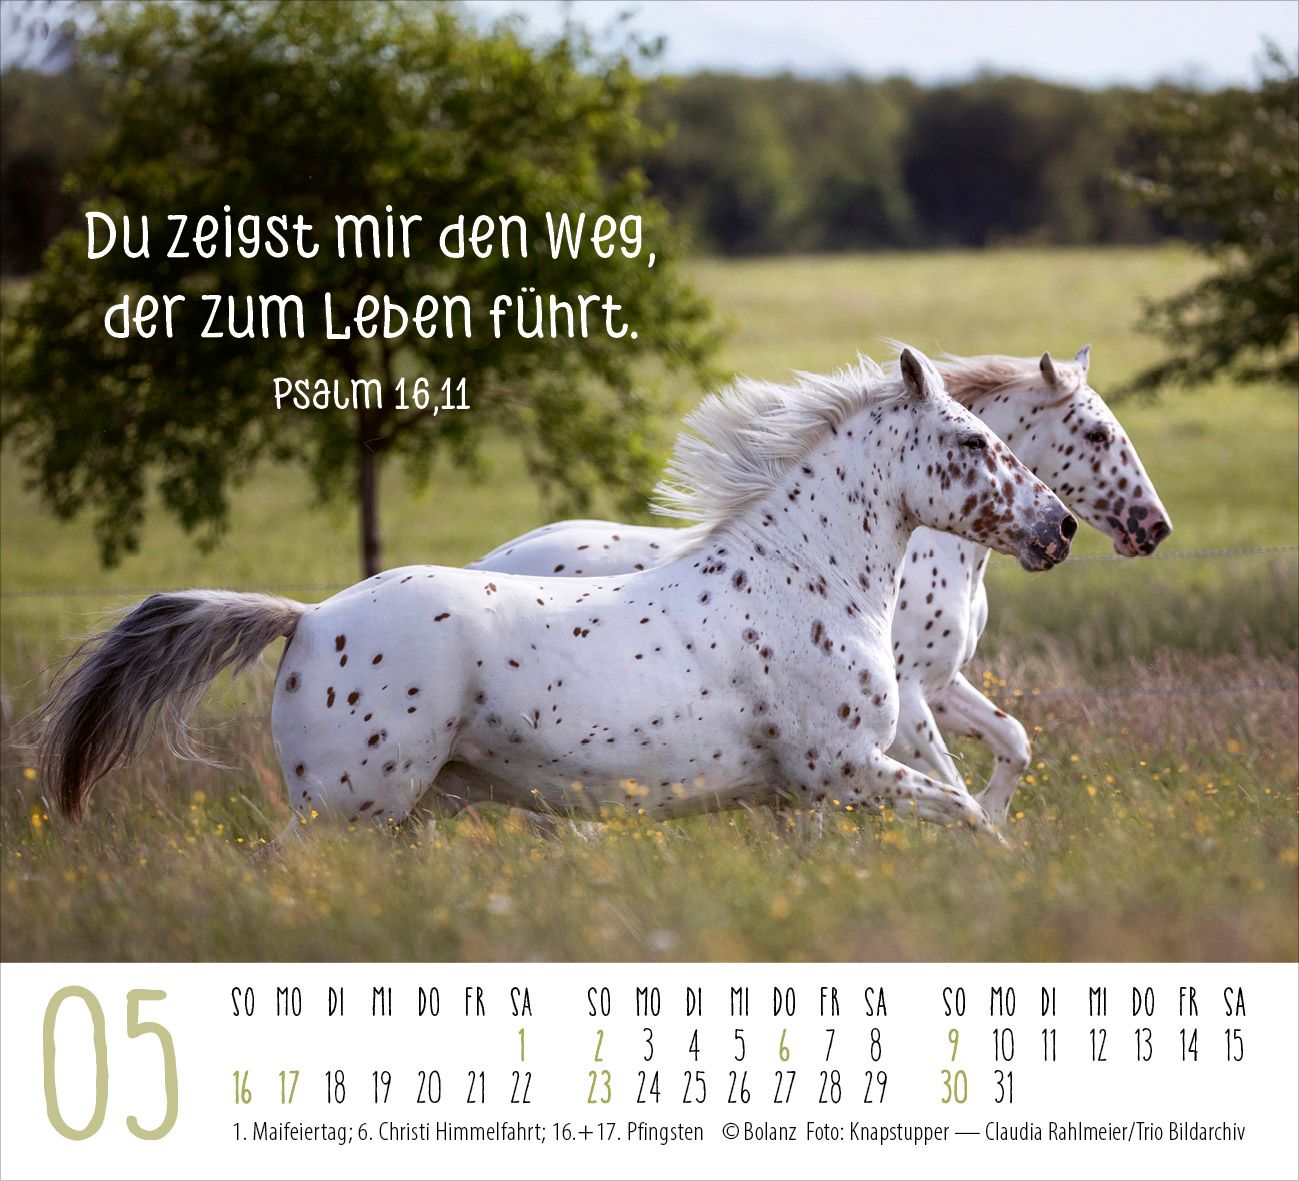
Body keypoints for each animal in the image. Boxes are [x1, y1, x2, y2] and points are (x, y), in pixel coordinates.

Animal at [39, 348, 1075, 838]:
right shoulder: (845, 768)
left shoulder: (807, 793)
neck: (804, 580)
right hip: (345, 807)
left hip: (394, 814)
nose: (1059, 525)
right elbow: (965, 813)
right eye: (973, 442)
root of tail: (308, 617)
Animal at [469, 346, 1170, 822]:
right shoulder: (912, 696)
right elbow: (947, 779)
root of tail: (485, 563)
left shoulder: (942, 685)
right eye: (1096, 433)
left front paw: (996, 819)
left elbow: (1013, 743)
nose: (1152, 527)